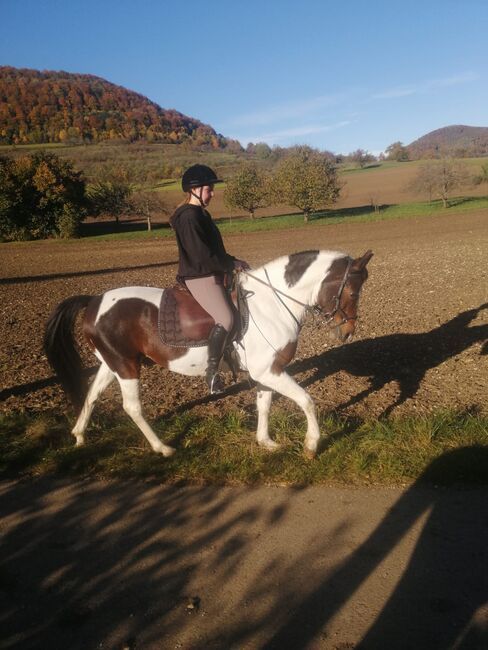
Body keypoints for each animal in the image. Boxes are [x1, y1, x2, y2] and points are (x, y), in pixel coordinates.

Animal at [44, 248, 374, 456]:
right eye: (353, 291)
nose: (347, 332)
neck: (272, 303)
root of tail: (94, 301)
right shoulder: (270, 370)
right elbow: (306, 400)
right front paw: (311, 445)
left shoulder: (268, 370)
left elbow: (264, 404)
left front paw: (266, 442)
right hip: (126, 366)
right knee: (132, 407)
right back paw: (163, 448)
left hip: (111, 363)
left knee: (92, 395)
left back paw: (80, 436)